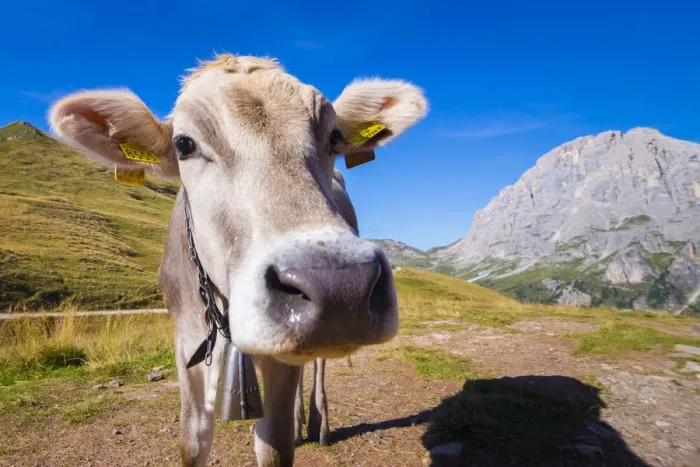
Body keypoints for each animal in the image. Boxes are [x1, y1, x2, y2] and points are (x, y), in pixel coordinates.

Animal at [48, 53, 428, 467]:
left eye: (334, 138)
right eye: (184, 144)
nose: (340, 285)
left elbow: (274, 443)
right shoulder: (186, 349)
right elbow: (193, 441)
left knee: (317, 365)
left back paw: (317, 423)